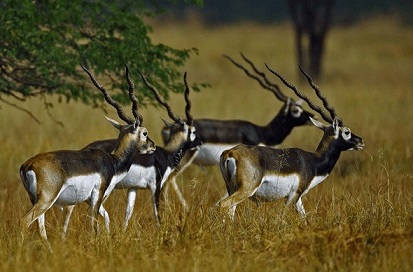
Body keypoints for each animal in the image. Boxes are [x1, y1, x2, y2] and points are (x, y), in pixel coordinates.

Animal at [19, 65, 155, 241]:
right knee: (24, 222)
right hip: (46, 199)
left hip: (35, 199)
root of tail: (27, 165)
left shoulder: (89, 200)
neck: (113, 162)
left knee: (40, 227)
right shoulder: (97, 194)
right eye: (144, 133)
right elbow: (93, 224)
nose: (153, 146)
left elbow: (106, 218)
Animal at [81, 71, 200, 231]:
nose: (200, 142)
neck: (167, 154)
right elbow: (157, 213)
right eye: (193, 131)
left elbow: (128, 213)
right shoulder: (156, 186)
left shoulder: (133, 188)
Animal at [160, 53, 312, 210]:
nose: (311, 116)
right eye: (295, 110)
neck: (262, 133)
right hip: (185, 157)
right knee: (168, 179)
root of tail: (169, 127)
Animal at [217, 65, 362, 220]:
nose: (361, 141)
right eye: (347, 132)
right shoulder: (293, 195)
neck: (313, 162)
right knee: (223, 205)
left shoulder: (298, 198)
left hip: (231, 188)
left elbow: (304, 218)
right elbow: (283, 216)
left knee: (229, 209)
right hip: (246, 189)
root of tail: (229, 153)